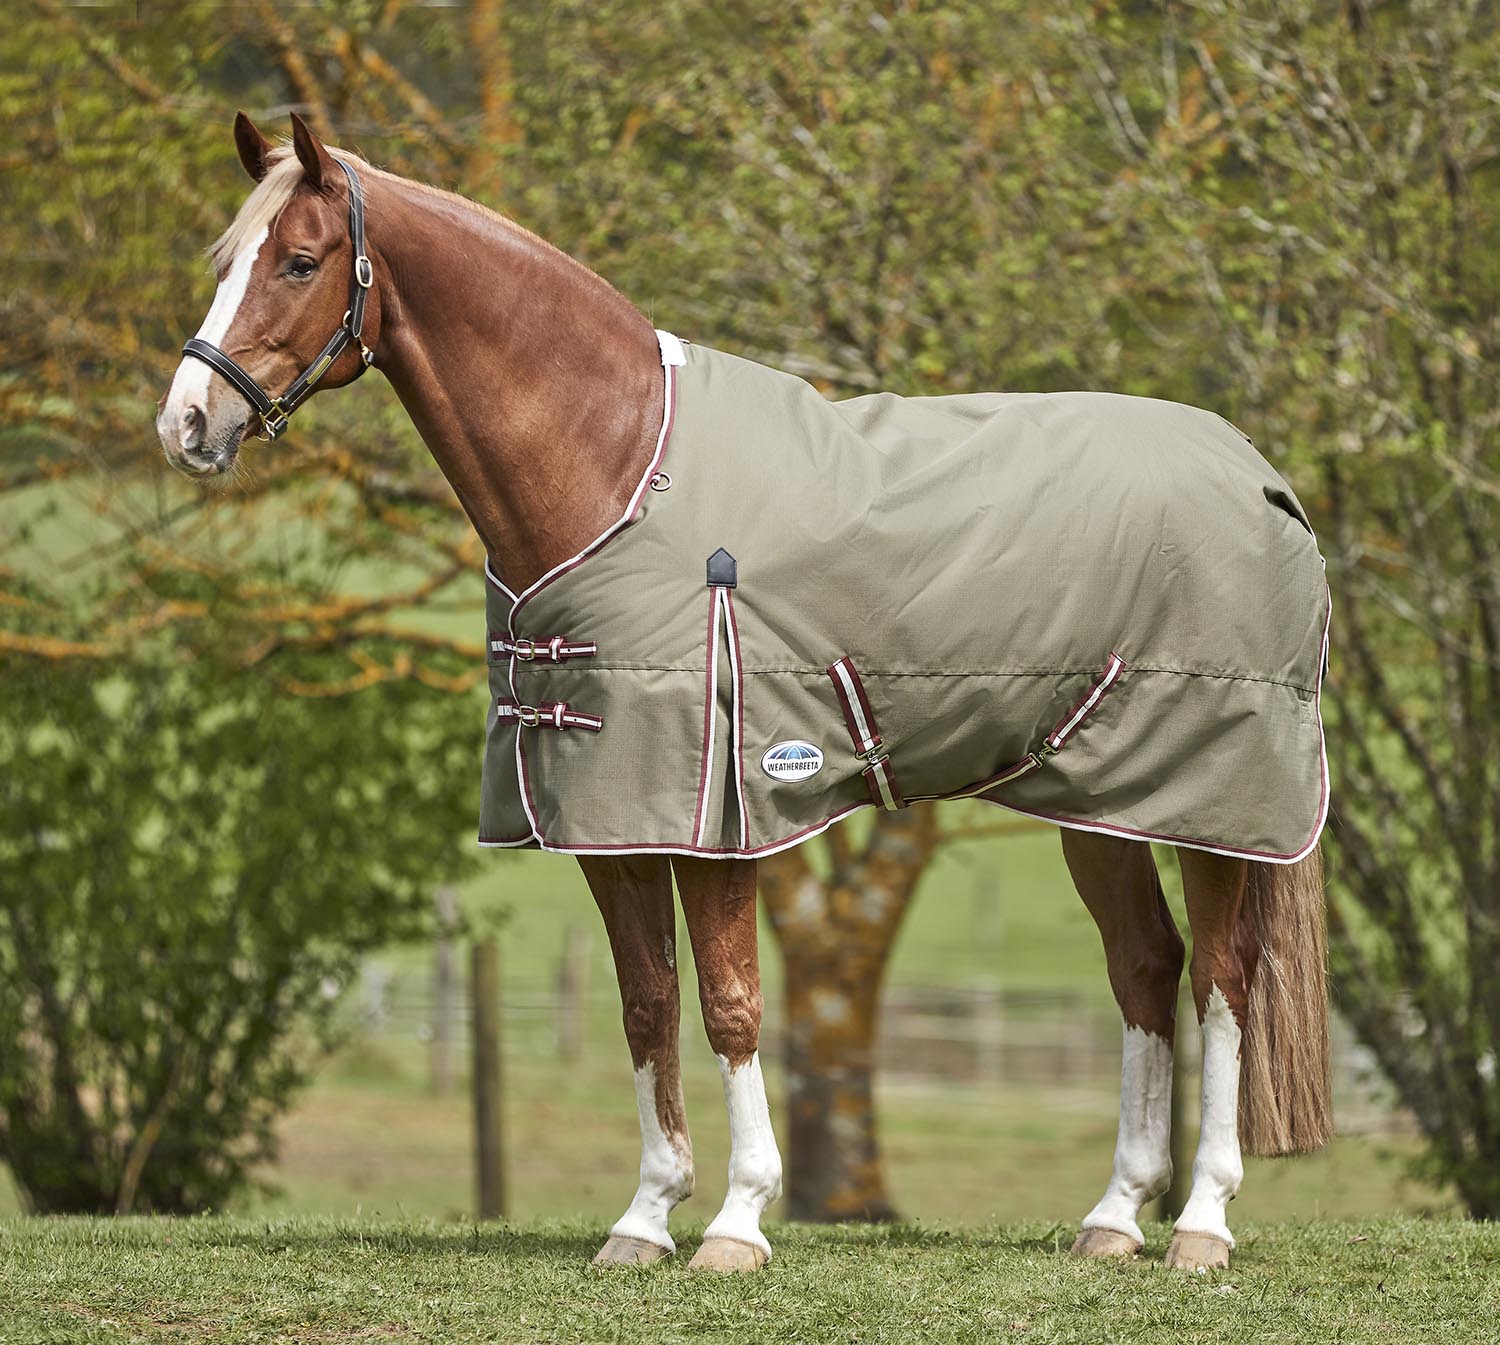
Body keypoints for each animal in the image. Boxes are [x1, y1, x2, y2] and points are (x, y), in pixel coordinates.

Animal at [156, 113, 1333, 1273]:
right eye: (221, 260)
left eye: (301, 260)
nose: (187, 424)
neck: (617, 465)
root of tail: (1260, 474)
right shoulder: (608, 811)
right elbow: (646, 1002)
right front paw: (643, 1218)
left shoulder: (716, 810)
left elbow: (728, 1004)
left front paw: (735, 1222)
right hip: (1097, 796)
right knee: (1145, 965)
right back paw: (1116, 1216)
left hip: (1215, 802)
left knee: (1223, 977)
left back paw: (1201, 1221)